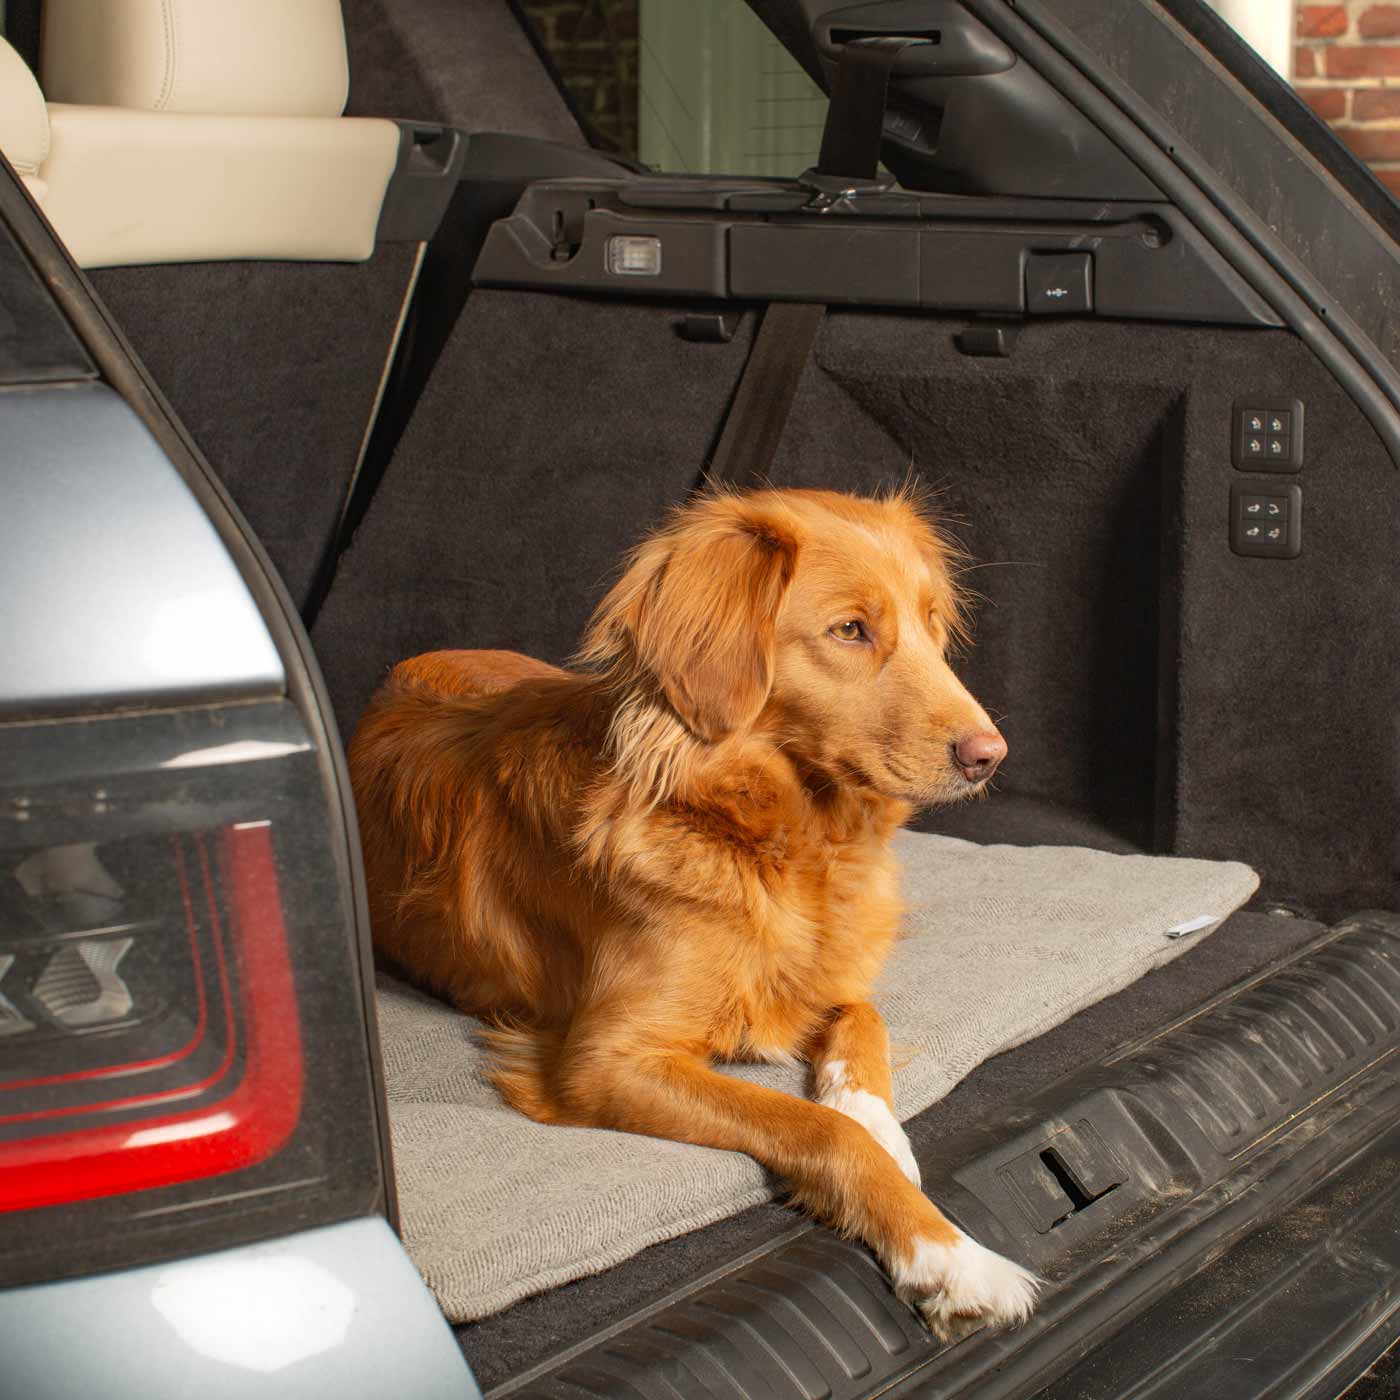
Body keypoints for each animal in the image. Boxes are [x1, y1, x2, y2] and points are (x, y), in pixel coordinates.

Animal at [350, 490, 1041, 1332]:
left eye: (932, 624)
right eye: (850, 630)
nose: (990, 756)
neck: (777, 845)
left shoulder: (831, 977)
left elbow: (862, 1021)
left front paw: (883, 1128)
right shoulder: (604, 1061)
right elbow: (820, 1129)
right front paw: (948, 1256)